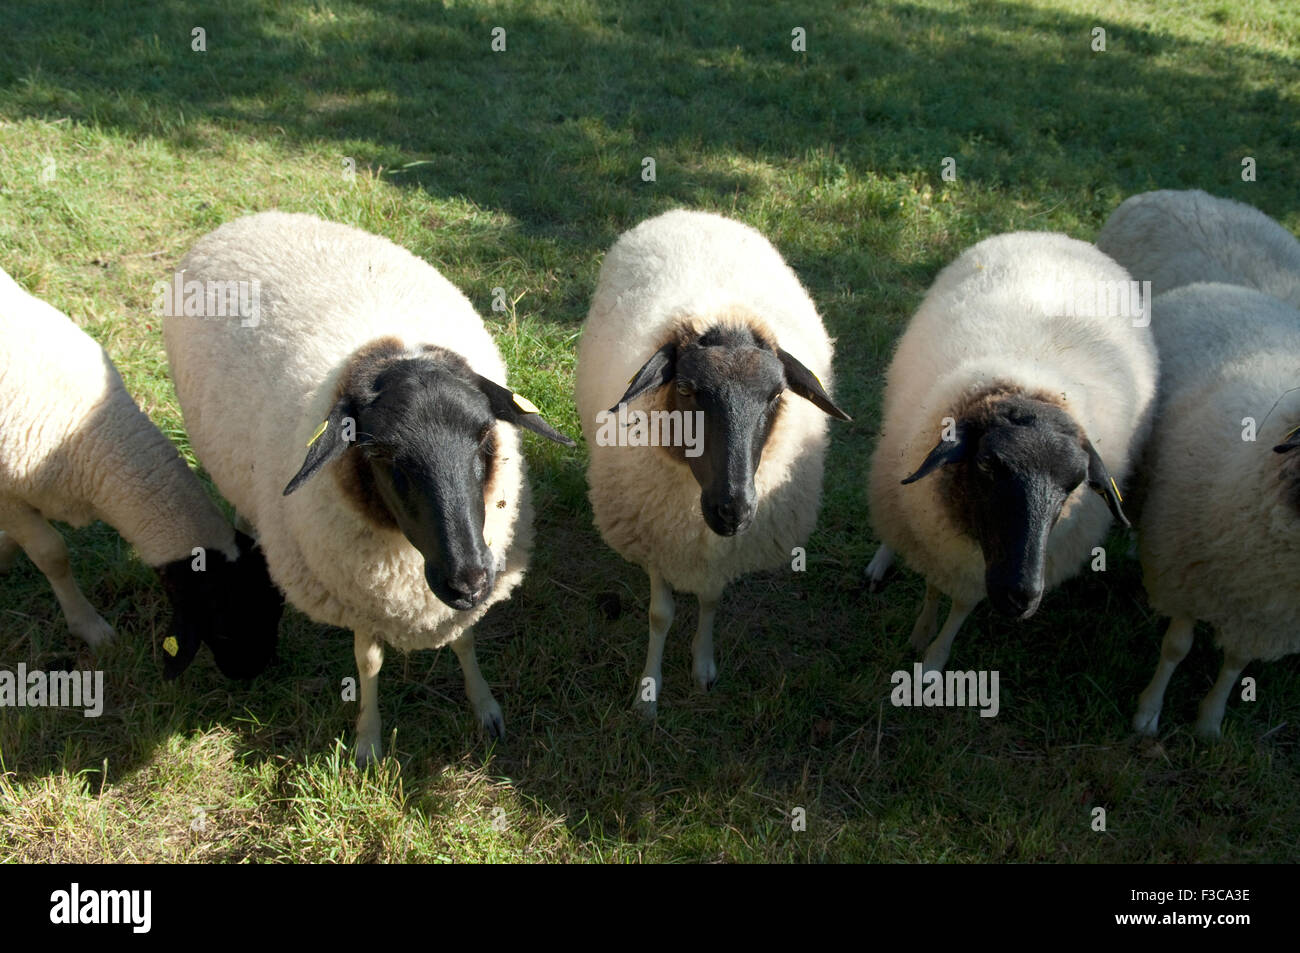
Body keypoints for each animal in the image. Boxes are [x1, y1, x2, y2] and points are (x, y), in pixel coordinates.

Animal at [159, 211, 572, 764]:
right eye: (383, 458)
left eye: (485, 438)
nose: (467, 581)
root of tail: (246, 218)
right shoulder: (354, 589)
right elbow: (368, 661)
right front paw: (368, 741)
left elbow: (464, 641)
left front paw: (485, 707)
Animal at [574, 208, 847, 712]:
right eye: (685, 389)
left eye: (776, 394)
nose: (732, 509)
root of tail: (690, 212)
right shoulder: (654, 536)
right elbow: (660, 615)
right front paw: (648, 692)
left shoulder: (722, 551)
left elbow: (711, 600)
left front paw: (703, 667)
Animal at [863, 232, 1159, 670]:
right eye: (988, 463)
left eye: (1075, 484)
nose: (1021, 596)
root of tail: (1057, 235)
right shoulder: (934, 531)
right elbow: (934, 586)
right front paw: (920, 641)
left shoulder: (969, 562)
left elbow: (960, 606)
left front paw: (933, 659)